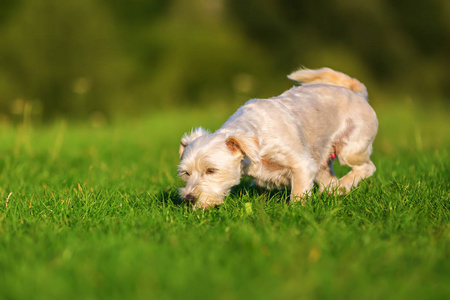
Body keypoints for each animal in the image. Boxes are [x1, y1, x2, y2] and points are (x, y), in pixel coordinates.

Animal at [178, 68, 378, 209]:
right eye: (186, 173)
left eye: (211, 170)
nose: (188, 199)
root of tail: (357, 93)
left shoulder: (301, 165)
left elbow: (298, 194)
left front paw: (296, 211)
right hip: (322, 161)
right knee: (330, 182)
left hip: (350, 149)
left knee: (367, 167)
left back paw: (344, 185)